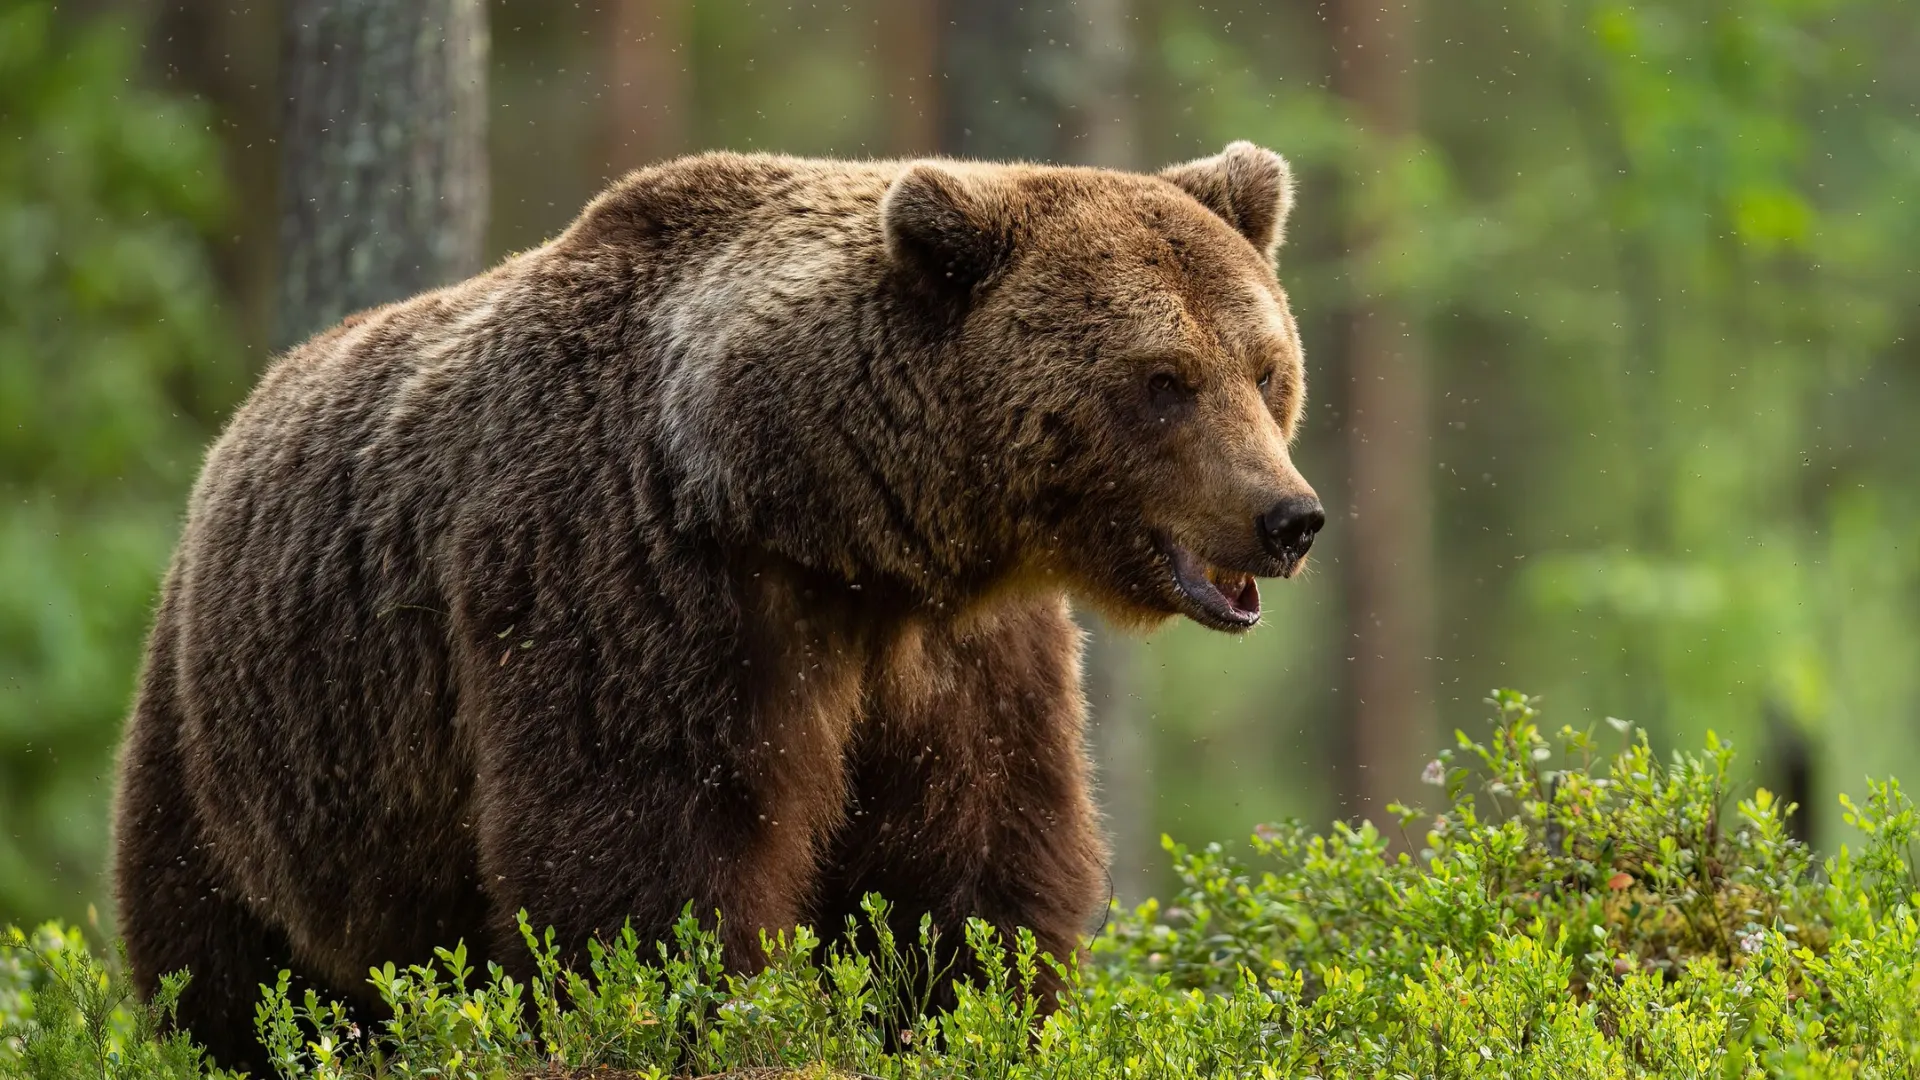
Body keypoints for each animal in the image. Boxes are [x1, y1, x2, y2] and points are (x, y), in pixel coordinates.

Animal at [112, 141, 1328, 1068]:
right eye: (1164, 381)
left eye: (1265, 368)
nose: (1289, 516)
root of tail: (234, 428)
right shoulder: (640, 582)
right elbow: (649, 868)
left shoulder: (959, 655)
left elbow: (975, 869)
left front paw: (965, 1015)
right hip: (242, 748)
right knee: (223, 964)